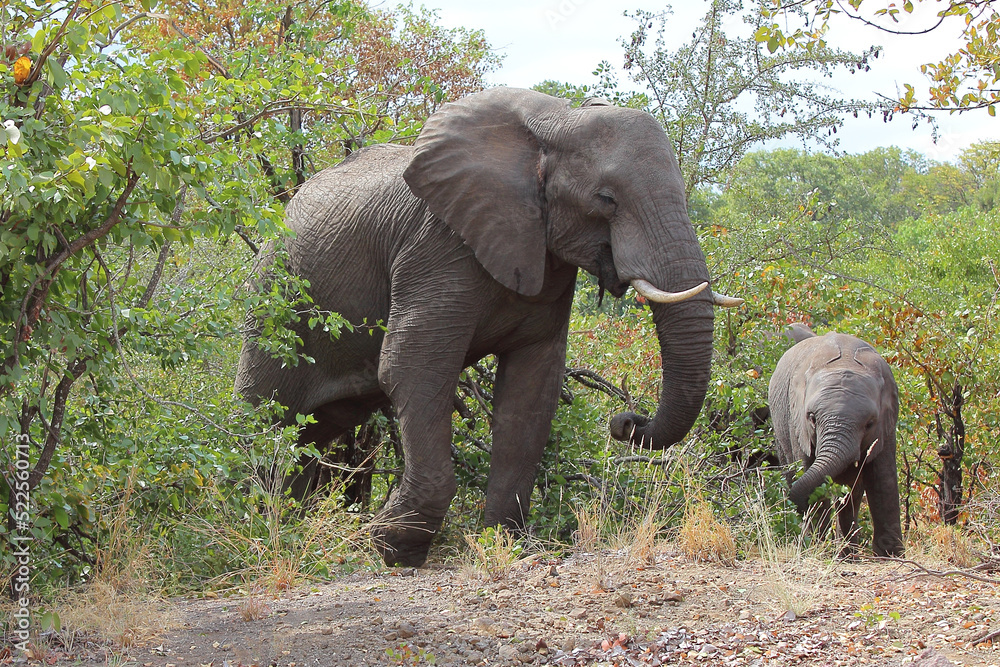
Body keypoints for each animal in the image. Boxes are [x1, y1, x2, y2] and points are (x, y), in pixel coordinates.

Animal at [236, 87, 740, 567]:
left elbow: (531, 389)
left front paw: (504, 543)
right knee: (265, 419)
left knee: (311, 434)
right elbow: (413, 367)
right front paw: (393, 546)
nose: (624, 421)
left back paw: (289, 522)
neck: (555, 124)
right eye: (606, 199)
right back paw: (257, 525)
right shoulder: (435, 247)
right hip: (274, 304)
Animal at [768, 327, 904, 556]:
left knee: (851, 493)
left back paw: (847, 556)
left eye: (870, 423)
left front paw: (892, 556)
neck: (846, 361)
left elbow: (882, 478)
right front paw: (817, 549)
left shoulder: (886, 425)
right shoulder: (797, 422)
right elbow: (809, 472)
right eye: (812, 418)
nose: (797, 505)